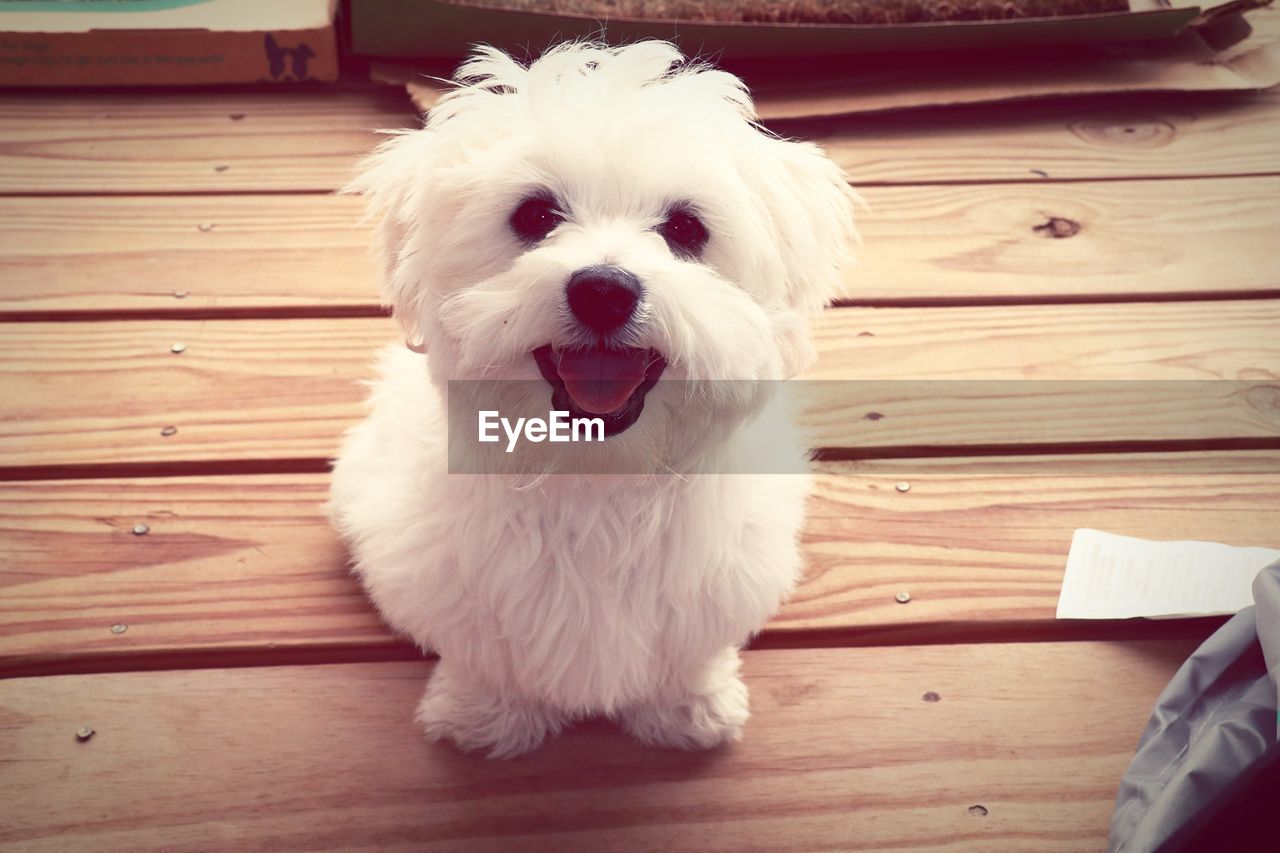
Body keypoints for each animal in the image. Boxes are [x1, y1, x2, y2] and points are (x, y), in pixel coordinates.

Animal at [325, 41, 855, 758]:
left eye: (686, 228)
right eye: (534, 216)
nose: (604, 290)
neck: (597, 475)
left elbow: (687, 654)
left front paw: (689, 707)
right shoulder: (457, 581)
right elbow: (486, 654)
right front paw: (484, 713)